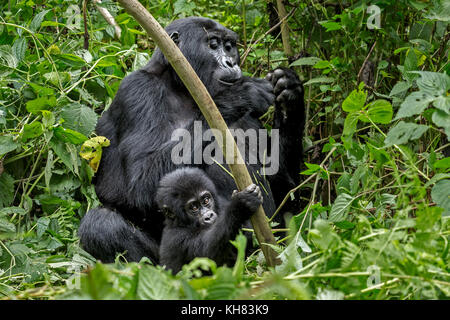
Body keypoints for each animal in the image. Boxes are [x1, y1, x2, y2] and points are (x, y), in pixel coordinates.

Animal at [78, 16, 306, 264]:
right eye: (213, 44)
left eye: (229, 46)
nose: (230, 62)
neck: (180, 86)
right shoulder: (137, 91)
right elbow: (139, 183)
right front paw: (240, 95)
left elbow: (284, 187)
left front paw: (290, 92)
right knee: (101, 225)